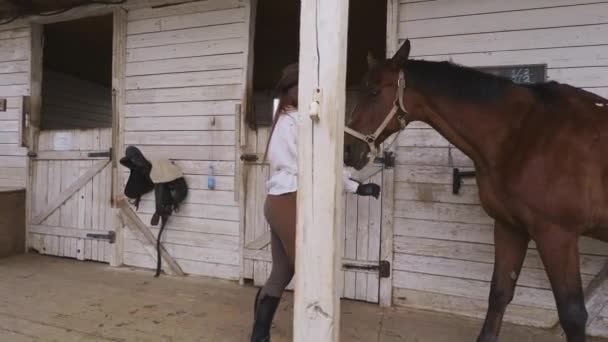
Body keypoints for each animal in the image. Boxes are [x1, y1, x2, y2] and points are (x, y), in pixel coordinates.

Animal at [344, 38, 608, 340]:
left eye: (375, 91)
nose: (348, 150)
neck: (524, 133)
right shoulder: (510, 227)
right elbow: (499, 293)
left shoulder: (556, 235)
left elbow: (572, 314)